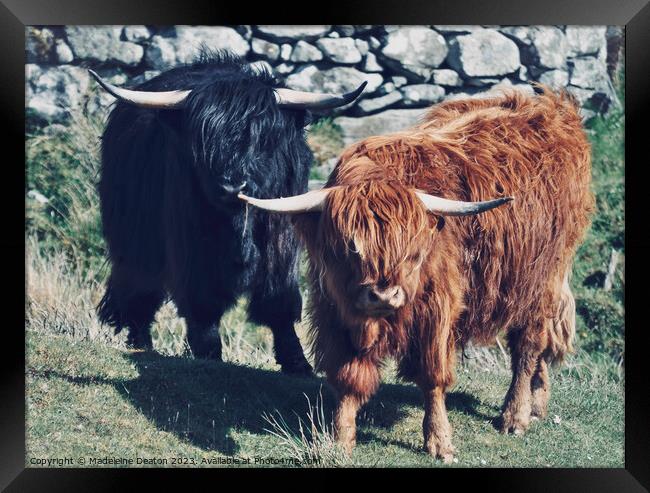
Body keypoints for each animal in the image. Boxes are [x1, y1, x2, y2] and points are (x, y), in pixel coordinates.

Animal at [91, 52, 364, 372]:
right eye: (204, 140)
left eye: (262, 138)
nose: (232, 185)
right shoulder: (191, 246)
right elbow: (203, 302)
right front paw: (209, 354)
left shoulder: (280, 240)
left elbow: (278, 301)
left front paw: (297, 364)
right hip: (134, 240)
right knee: (139, 290)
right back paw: (141, 344)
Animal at [238, 88, 592, 462]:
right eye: (350, 246)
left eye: (412, 249)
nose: (382, 295)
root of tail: (554, 104)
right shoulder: (335, 311)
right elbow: (349, 377)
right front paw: (340, 439)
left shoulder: (436, 311)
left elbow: (432, 376)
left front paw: (439, 441)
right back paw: (538, 404)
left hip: (542, 280)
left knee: (527, 347)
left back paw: (516, 416)